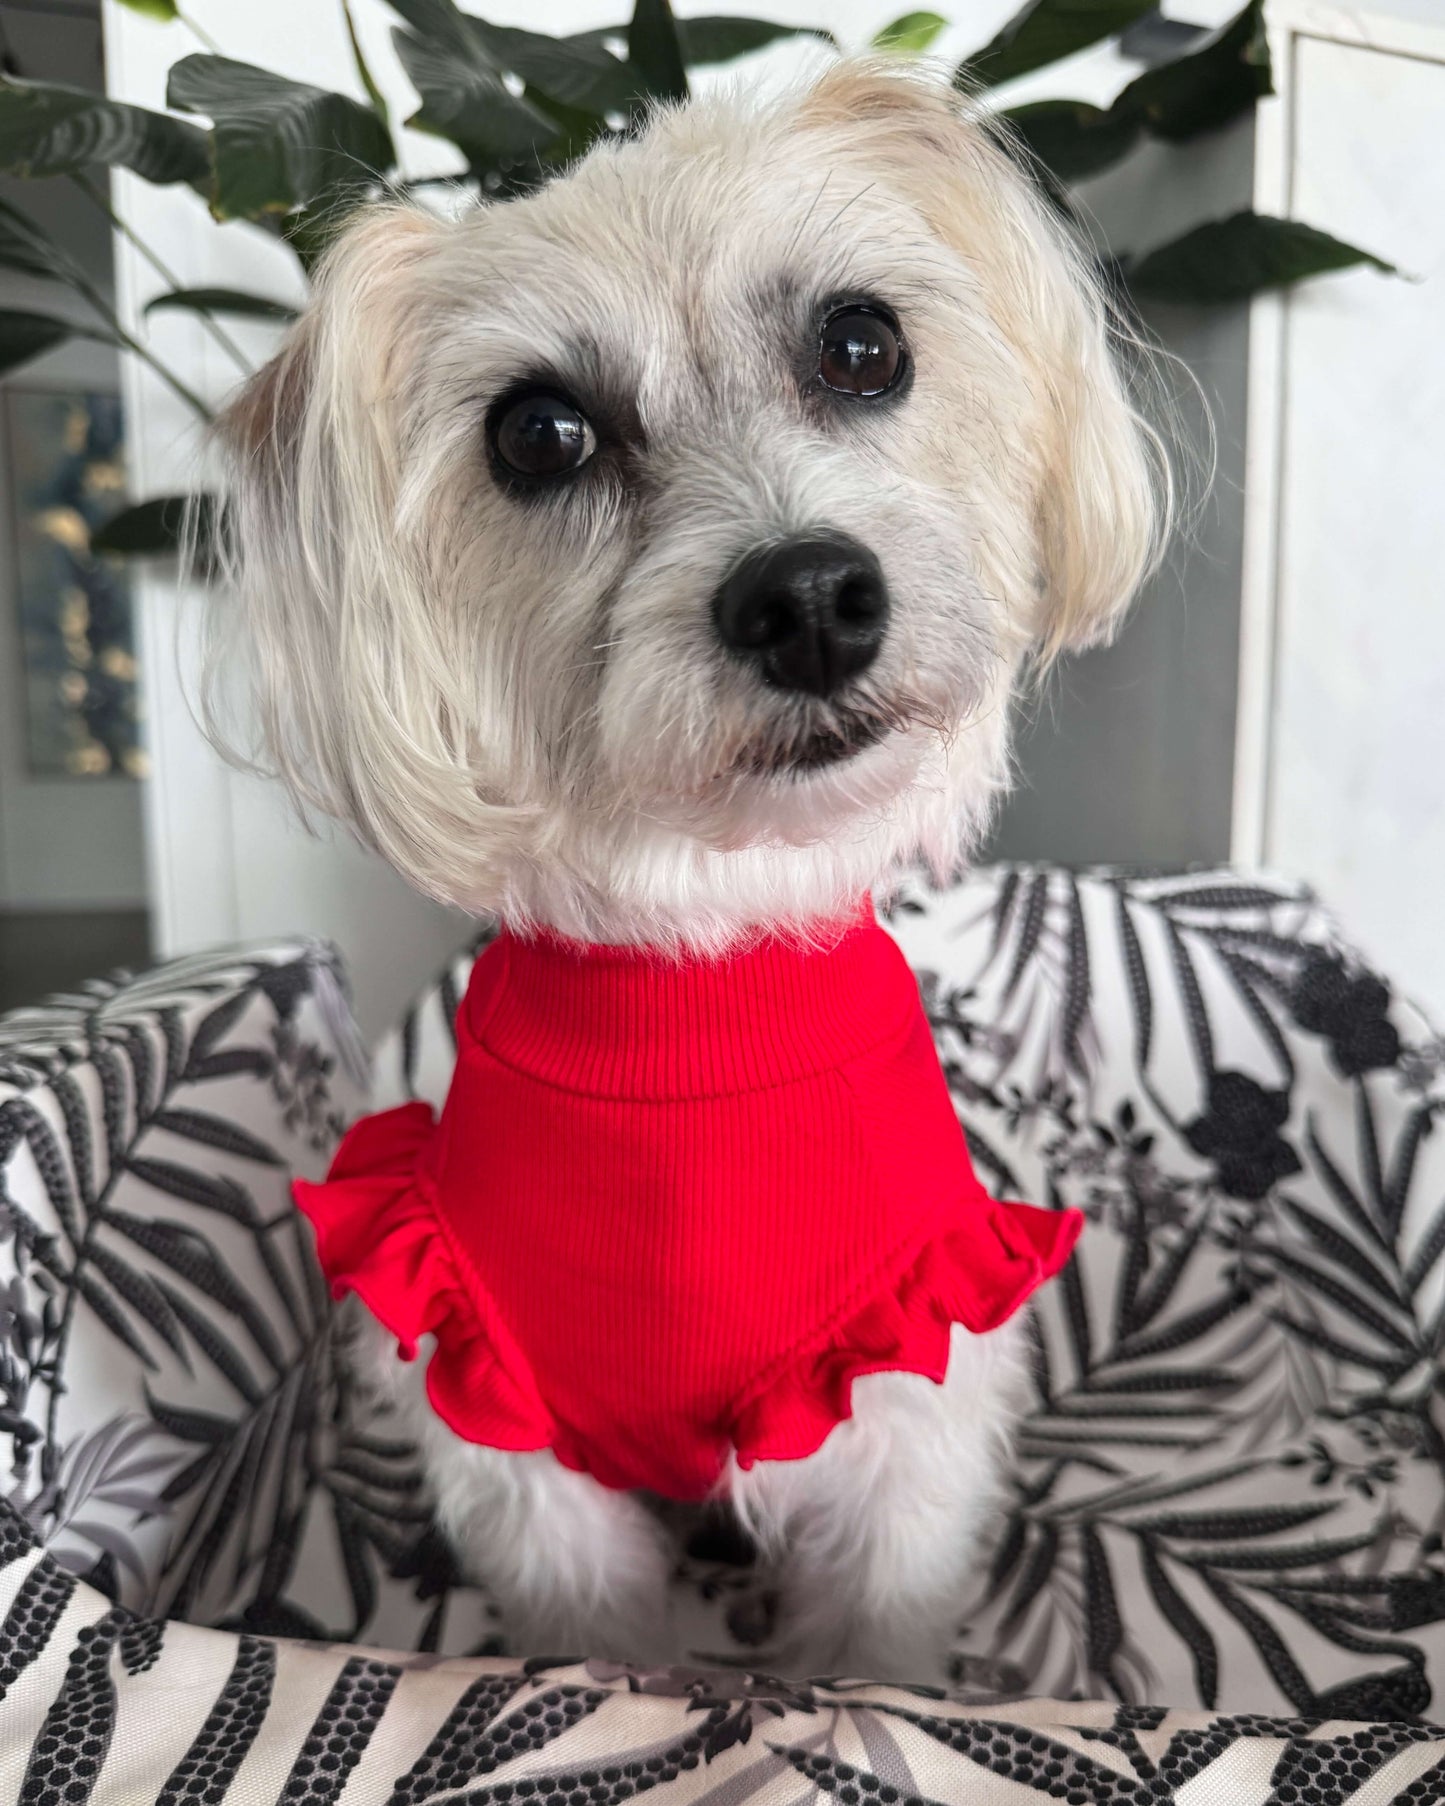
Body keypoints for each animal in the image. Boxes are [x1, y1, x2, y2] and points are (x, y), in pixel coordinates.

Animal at [211, 60, 1163, 1690]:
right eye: (538, 435)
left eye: (861, 343)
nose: (808, 598)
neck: (703, 967)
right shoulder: (519, 1450)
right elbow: (601, 1644)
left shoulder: (902, 1408)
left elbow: (875, 1639)